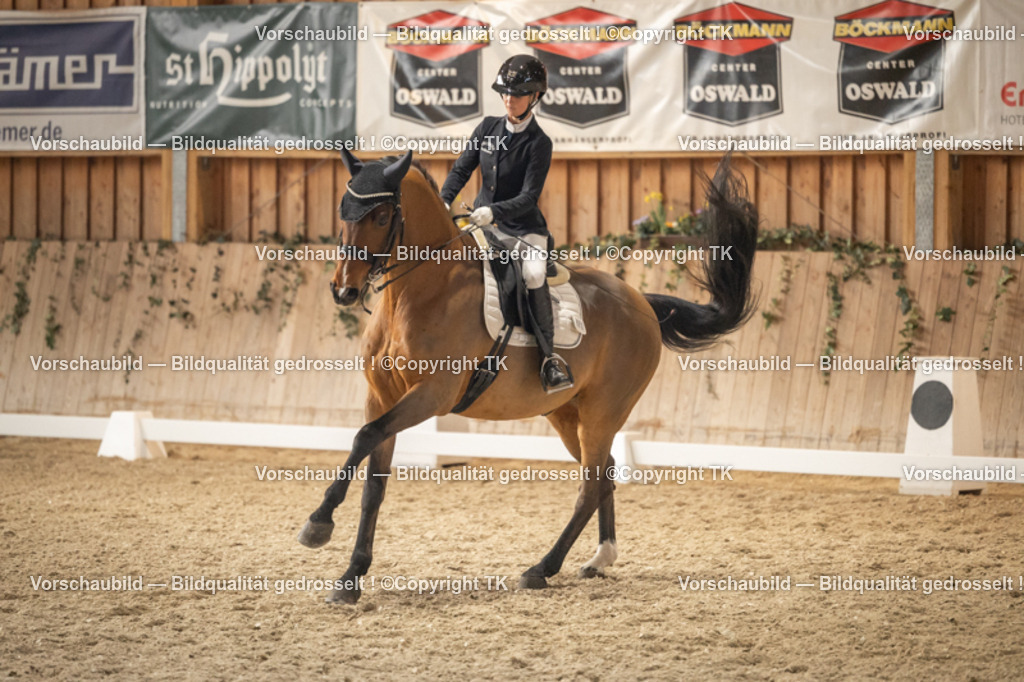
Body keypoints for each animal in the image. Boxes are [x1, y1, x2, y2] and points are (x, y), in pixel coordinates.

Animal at [296, 149, 758, 604]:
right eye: (342, 211)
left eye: (379, 217)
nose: (343, 290)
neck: (420, 292)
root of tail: (642, 303)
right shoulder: (381, 397)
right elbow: (374, 484)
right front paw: (351, 578)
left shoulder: (432, 395)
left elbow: (363, 437)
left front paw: (318, 524)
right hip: (566, 415)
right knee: (604, 471)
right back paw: (600, 557)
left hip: (603, 412)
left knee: (591, 484)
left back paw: (542, 568)